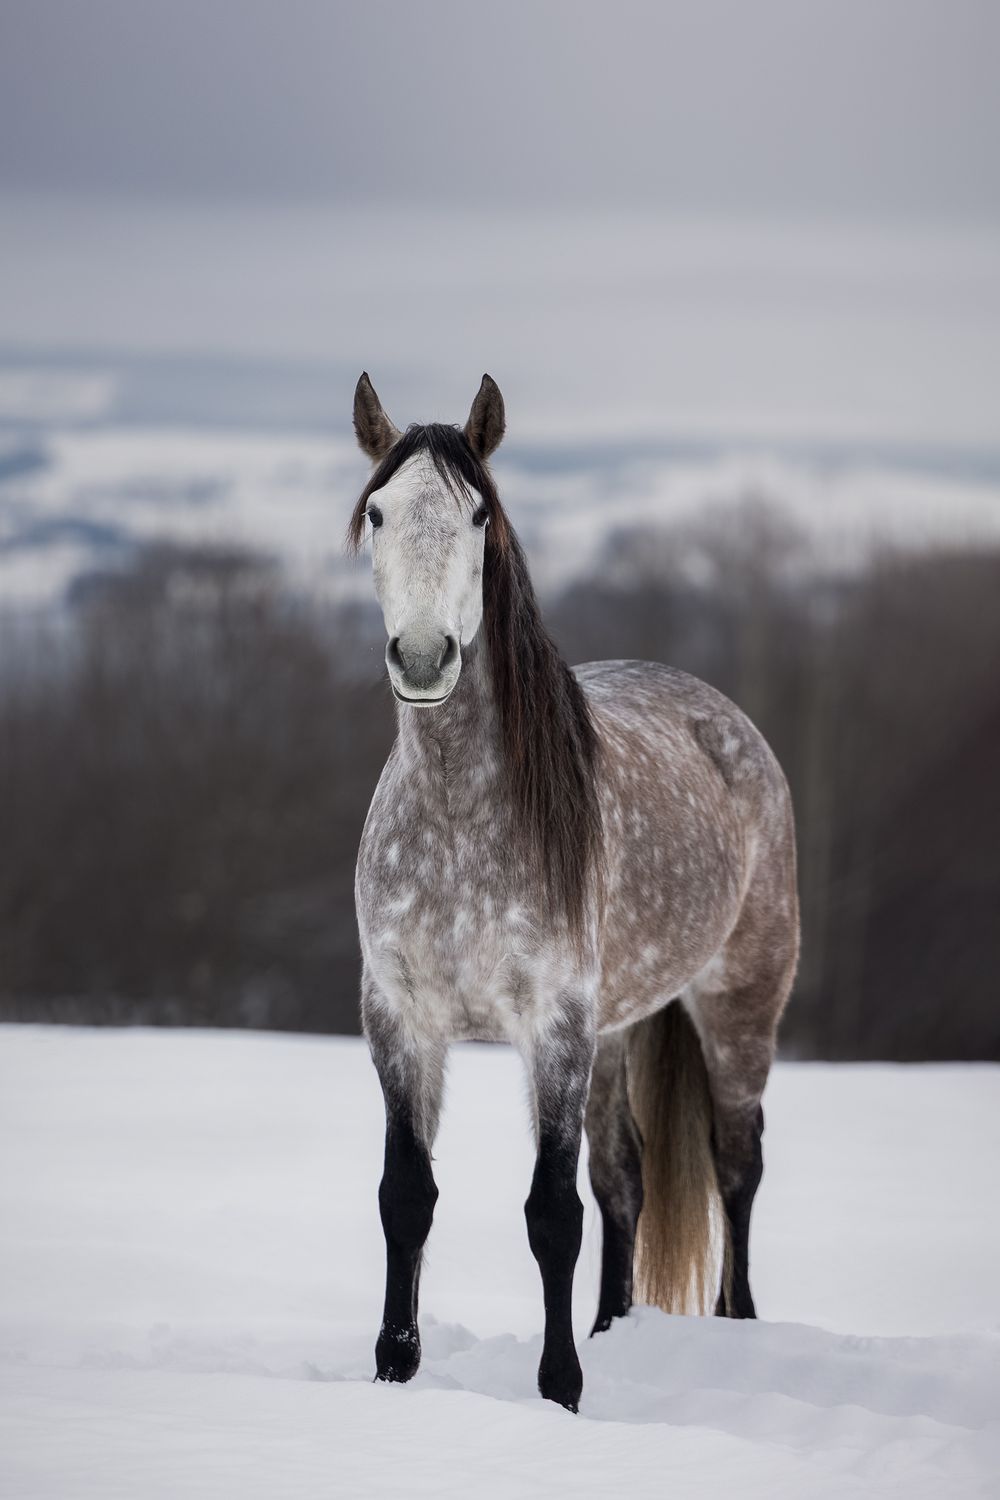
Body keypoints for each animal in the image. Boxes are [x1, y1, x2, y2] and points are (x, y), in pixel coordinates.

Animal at [348, 372, 799, 1412]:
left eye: (478, 514)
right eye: (379, 511)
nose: (424, 657)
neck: (460, 822)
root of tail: (728, 722)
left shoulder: (551, 1024)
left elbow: (551, 1211)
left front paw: (560, 1388)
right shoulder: (399, 1014)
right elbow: (407, 1196)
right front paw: (394, 1367)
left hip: (737, 1006)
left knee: (736, 1165)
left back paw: (735, 1325)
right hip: (617, 1030)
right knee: (625, 1178)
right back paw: (611, 1328)